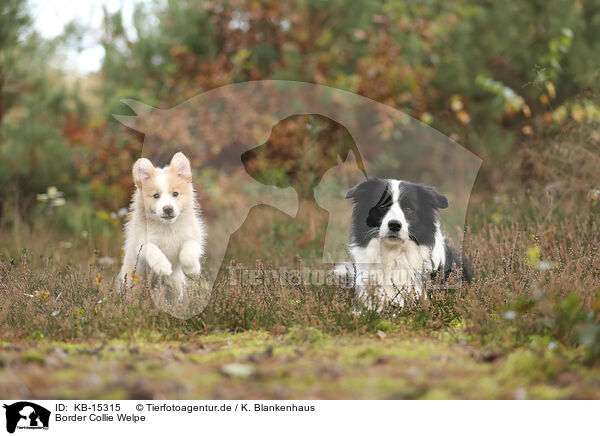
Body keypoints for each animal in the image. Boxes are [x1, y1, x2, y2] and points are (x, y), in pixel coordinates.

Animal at [118, 151, 207, 300]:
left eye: (175, 194)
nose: (168, 209)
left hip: (174, 288)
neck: (168, 228)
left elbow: (188, 250)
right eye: (156, 196)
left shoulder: (193, 236)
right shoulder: (139, 244)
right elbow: (151, 248)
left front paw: (192, 270)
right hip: (133, 285)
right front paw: (163, 266)